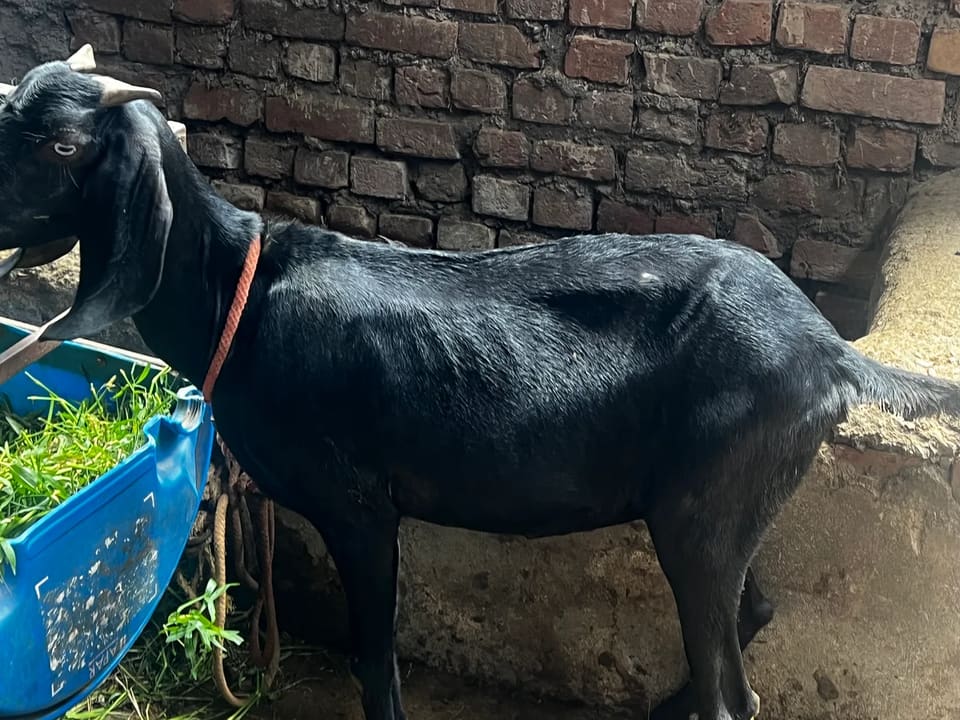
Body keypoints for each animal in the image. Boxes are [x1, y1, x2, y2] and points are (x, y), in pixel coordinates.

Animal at [1, 49, 958, 720]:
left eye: (64, 146)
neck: (236, 291)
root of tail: (829, 349)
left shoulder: (360, 506)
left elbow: (375, 662)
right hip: (721, 502)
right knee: (751, 611)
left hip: (706, 507)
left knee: (736, 691)